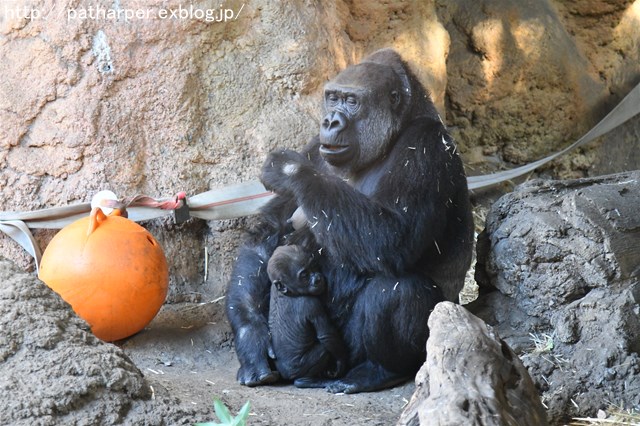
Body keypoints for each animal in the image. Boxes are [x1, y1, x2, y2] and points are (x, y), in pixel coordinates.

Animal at [266, 243, 348, 386]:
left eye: (314, 266)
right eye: (304, 275)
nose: (318, 278)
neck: (288, 292)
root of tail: (286, 375)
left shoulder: (273, 287)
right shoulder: (311, 304)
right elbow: (326, 335)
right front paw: (340, 362)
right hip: (299, 368)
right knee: (324, 350)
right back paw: (306, 381)